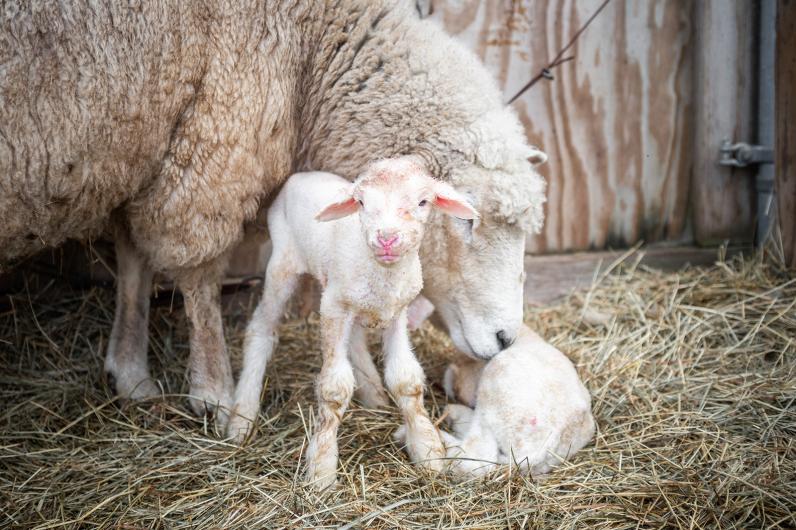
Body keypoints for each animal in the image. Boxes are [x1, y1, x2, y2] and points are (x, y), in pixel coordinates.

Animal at [1, 1, 546, 424]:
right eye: (466, 219)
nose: (506, 338)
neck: (312, 43)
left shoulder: (141, 153)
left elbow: (133, 261)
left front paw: (131, 373)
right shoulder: (212, 143)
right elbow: (199, 280)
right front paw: (215, 392)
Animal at [227, 156, 479, 489]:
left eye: (423, 201)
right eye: (361, 202)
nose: (387, 238)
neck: (381, 272)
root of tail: (301, 174)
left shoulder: (398, 311)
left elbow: (406, 379)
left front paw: (428, 452)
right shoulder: (333, 308)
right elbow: (334, 388)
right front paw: (321, 472)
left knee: (356, 341)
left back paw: (373, 395)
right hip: (284, 263)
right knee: (261, 327)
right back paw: (241, 418)